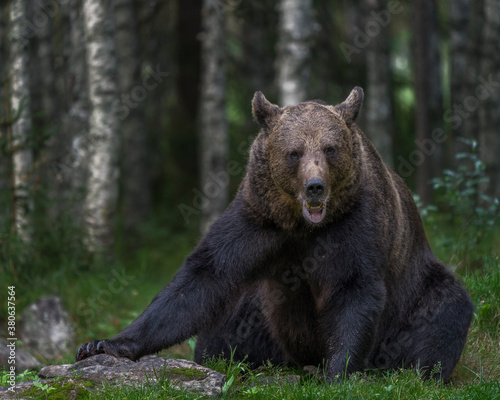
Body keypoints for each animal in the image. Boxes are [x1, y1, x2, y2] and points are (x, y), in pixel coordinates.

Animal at [77, 87, 472, 382]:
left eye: (330, 148)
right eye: (293, 152)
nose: (315, 187)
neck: (301, 224)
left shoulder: (355, 224)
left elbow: (353, 287)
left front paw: (338, 371)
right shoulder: (259, 221)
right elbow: (203, 277)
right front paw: (104, 344)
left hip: (415, 289)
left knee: (443, 311)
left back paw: (416, 369)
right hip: (260, 309)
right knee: (226, 327)